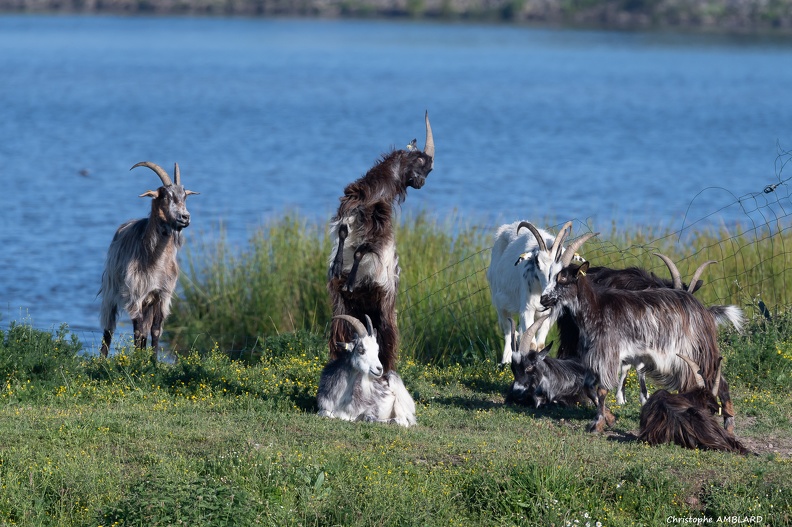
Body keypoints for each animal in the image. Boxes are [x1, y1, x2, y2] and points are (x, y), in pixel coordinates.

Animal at [98, 161, 198, 358]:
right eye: (165, 196)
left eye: (184, 196)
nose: (185, 217)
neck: (155, 261)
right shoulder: (135, 294)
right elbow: (137, 331)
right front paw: (137, 361)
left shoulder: (161, 294)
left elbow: (155, 330)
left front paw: (152, 361)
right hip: (111, 291)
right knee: (109, 327)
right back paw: (101, 359)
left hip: (147, 302)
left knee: (144, 330)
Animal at [330, 113, 436, 374]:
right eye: (420, 160)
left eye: (429, 169)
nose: (421, 183)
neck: (376, 193)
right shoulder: (349, 206)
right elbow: (343, 233)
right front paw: (337, 266)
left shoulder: (380, 233)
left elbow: (360, 251)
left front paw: (350, 281)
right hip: (346, 310)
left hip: (385, 310)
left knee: (387, 344)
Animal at [486, 221, 596, 366]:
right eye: (537, 262)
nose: (545, 298)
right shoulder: (527, 309)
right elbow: (531, 344)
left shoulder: (551, 313)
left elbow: (540, 345)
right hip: (500, 302)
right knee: (508, 329)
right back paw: (505, 360)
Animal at [540, 262, 744, 436]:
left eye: (563, 280)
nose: (543, 299)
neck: (596, 308)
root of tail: (703, 311)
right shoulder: (593, 357)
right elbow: (589, 387)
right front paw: (609, 418)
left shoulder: (607, 354)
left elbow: (602, 391)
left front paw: (597, 424)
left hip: (695, 351)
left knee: (717, 377)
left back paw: (728, 424)